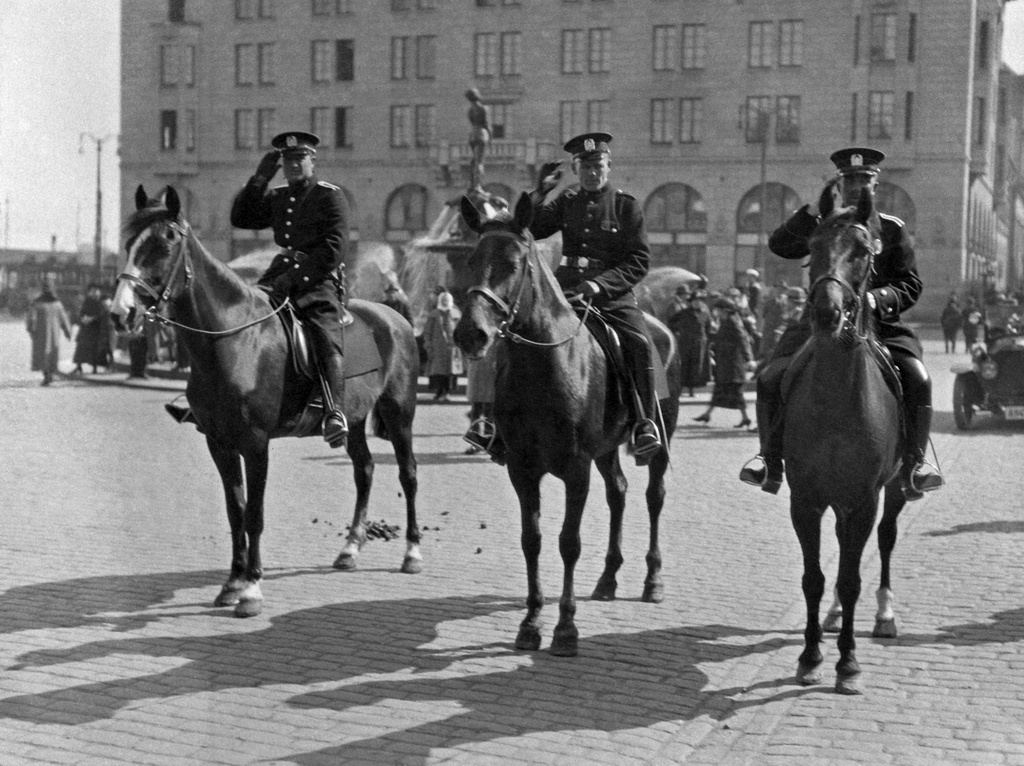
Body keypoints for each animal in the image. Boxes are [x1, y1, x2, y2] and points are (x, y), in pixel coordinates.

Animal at [109, 185, 419, 614]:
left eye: (165, 242)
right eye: (129, 244)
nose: (121, 312)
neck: (234, 338)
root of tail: (395, 317)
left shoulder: (256, 443)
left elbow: (254, 513)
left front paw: (252, 587)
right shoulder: (219, 443)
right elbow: (235, 510)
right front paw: (232, 582)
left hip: (400, 413)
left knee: (408, 474)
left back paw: (412, 553)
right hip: (354, 419)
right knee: (365, 470)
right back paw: (350, 549)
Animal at [454, 194, 679, 655]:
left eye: (513, 263)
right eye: (471, 259)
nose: (472, 334)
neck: (542, 363)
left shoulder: (576, 469)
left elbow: (568, 543)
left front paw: (565, 627)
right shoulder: (523, 469)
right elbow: (533, 541)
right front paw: (531, 621)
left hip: (661, 440)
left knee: (654, 497)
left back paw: (653, 580)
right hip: (607, 449)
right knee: (618, 493)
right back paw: (609, 578)